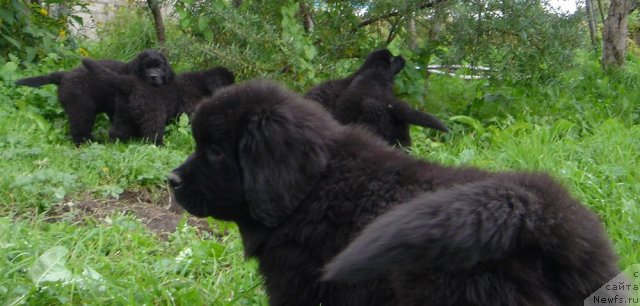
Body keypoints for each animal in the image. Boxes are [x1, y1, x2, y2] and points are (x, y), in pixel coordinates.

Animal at [14, 49, 174, 145]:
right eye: (146, 68)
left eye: (159, 67)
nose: (154, 76)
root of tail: (64, 75)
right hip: (81, 107)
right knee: (79, 128)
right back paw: (87, 143)